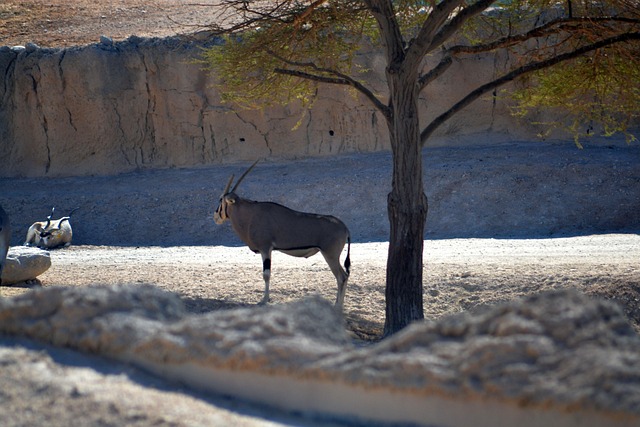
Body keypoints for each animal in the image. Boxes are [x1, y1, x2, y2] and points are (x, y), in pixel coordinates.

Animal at [218, 160, 352, 310]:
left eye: (220, 200)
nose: (216, 217)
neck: (251, 214)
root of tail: (344, 227)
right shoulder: (266, 250)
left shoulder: (265, 249)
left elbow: (266, 275)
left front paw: (264, 300)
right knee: (344, 276)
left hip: (331, 255)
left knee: (341, 277)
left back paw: (337, 306)